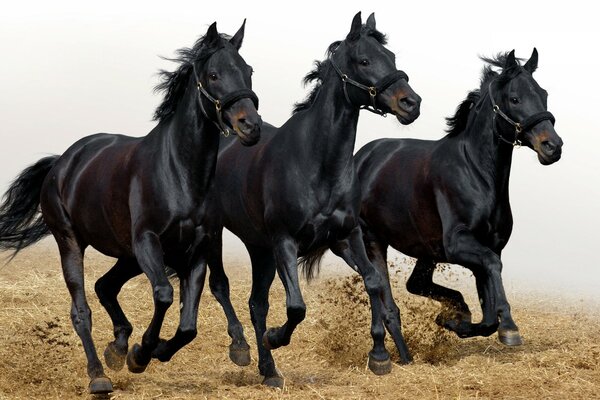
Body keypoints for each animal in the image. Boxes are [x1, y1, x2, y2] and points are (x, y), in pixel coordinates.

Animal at [0, 21, 262, 394]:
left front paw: (151, 351)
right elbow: (165, 295)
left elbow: (188, 325)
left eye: (248, 71)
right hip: (72, 243)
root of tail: (62, 163)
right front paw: (142, 353)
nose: (250, 127)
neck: (178, 172)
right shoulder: (148, 242)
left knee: (104, 286)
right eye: (213, 74)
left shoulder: (197, 249)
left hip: (127, 255)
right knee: (82, 309)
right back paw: (99, 375)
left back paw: (117, 347)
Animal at [203, 13, 422, 388]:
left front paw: (379, 356)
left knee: (256, 304)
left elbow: (374, 282)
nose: (411, 103)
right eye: (364, 61)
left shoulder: (346, 237)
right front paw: (276, 337)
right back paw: (242, 348)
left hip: (259, 248)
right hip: (217, 232)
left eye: (391, 56)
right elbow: (296, 307)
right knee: (222, 286)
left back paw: (269, 371)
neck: (317, 164)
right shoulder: (285, 242)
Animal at [354, 48, 560, 346]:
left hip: (426, 250)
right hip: (374, 239)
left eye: (543, 94)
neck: (476, 173)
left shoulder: (486, 247)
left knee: (416, 283)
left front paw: (455, 321)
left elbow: (488, 315)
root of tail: (360, 158)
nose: (553, 146)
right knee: (386, 293)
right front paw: (509, 327)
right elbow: (493, 267)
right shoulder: (459, 244)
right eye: (515, 98)